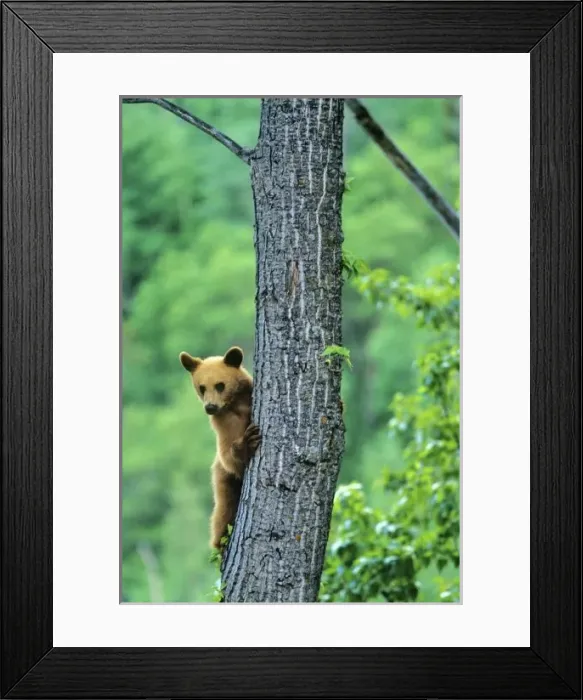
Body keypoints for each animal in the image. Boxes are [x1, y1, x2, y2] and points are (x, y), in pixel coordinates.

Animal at [179, 346, 261, 549]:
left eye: (220, 385)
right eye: (202, 387)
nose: (210, 407)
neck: (237, 404)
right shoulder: (225, 423)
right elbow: (229, 456)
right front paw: (247, 442)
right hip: (224, 480)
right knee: (223, 512)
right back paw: (220, 542)